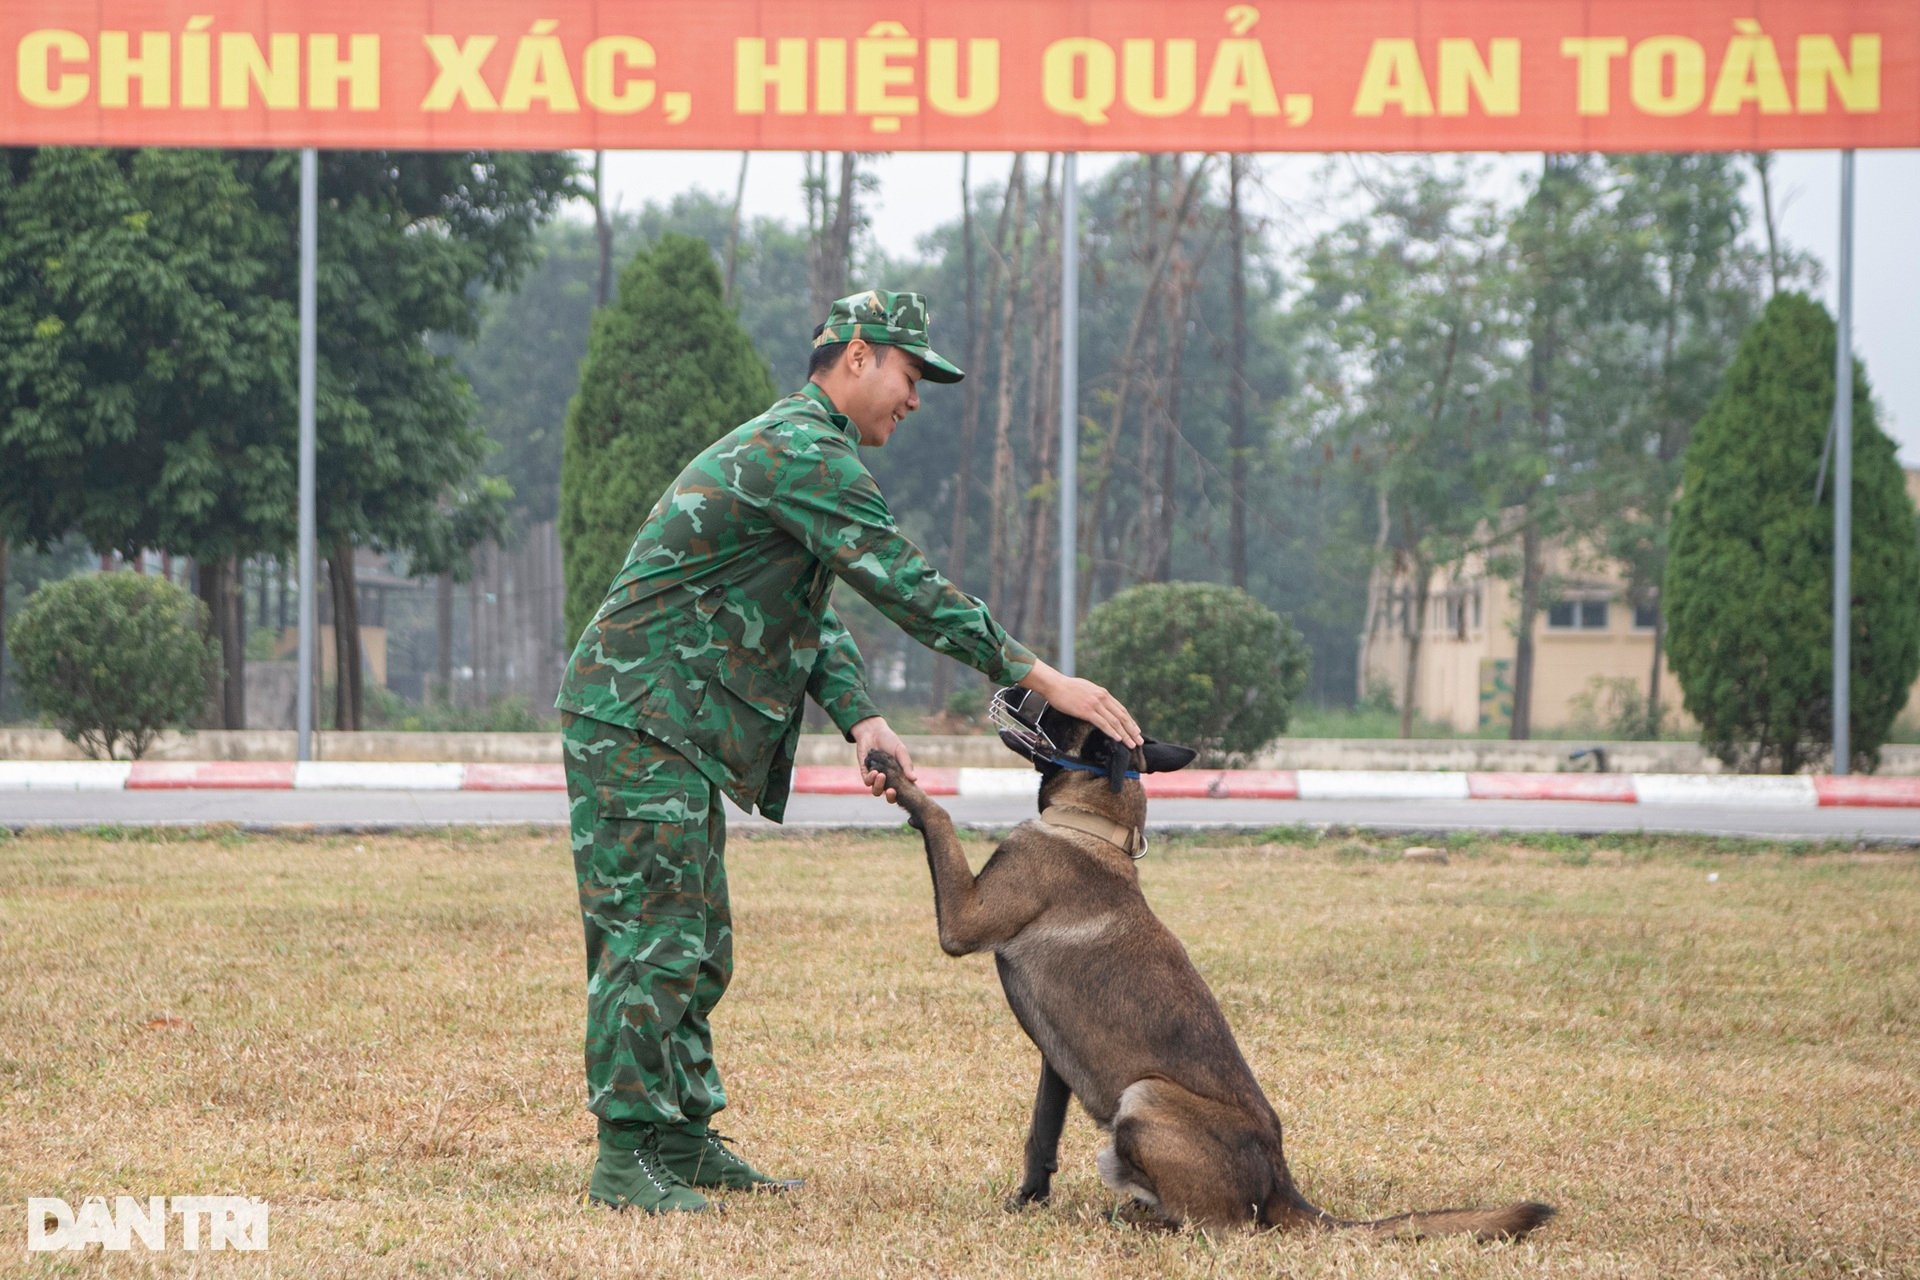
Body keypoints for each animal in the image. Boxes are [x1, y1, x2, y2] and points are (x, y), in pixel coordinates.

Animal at [864, 690, 1551, 1243]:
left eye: (1056, 710)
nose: (1013, 685)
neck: (1093, 826)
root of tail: (1281, 1181)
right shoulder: (1055, 1064)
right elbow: (1041, 1134)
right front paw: (1028, 1199)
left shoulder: (965, 921)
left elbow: (939, 815)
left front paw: (895, 771)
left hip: (1143, 1098)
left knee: (1219, 1225)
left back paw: (1144, 1219)